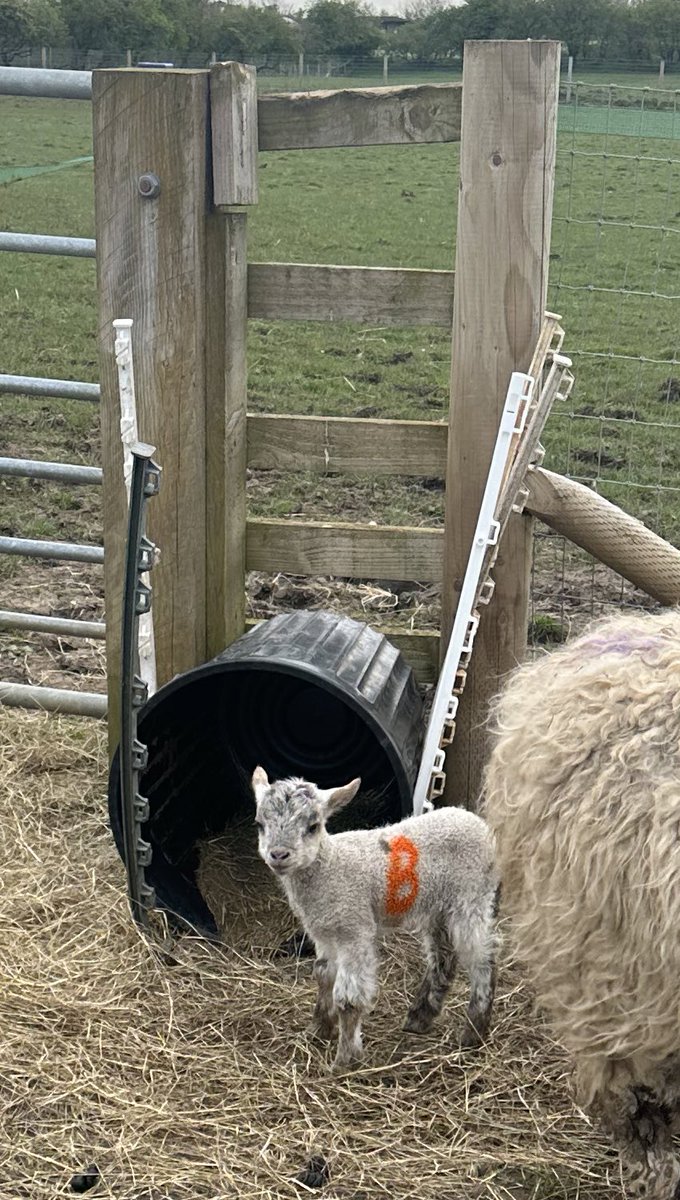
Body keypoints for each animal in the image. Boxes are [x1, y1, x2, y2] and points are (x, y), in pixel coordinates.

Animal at [253, 768, 496, 1080]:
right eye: (260, 824)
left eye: (313, 826)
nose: (279, 855)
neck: (330, 866)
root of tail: (473, 818)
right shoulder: (324, 933)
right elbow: (322, 975)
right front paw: (317, 1030)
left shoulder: (353, 930)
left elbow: (348, 999)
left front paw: (344, 1061)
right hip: (437, 908)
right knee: (443, 957)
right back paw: (419, 1018)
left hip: (471, 899)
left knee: (482, 959)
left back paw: (473, 1032)